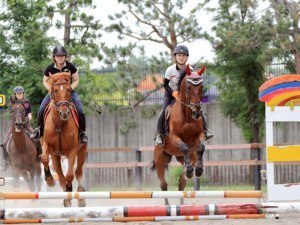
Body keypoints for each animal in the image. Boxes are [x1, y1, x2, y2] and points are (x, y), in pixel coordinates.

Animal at [40, 72, 86, 207]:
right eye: (55, 90)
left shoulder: (72, 151)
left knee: (78, 172)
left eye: (69, 89)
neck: (60, 124)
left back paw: (80, 197)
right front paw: (50, 180)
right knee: (60, 177)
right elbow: (44, 158)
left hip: (81, 152)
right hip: (56, 156)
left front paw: (69, 191)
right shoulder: (47, 145)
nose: (64, 113)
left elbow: (70, 175)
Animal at [152, 64, 206, 204]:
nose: (197, 112)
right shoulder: (174, 138)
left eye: (201, 86)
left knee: (181, 183)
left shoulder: (200, 135)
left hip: (185, 158)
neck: (187, 116)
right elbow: (184, 146)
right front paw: (191, 170)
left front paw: (198, 171)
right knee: (163, 185)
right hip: (160, 160)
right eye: (188, 87)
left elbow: (201, 147)